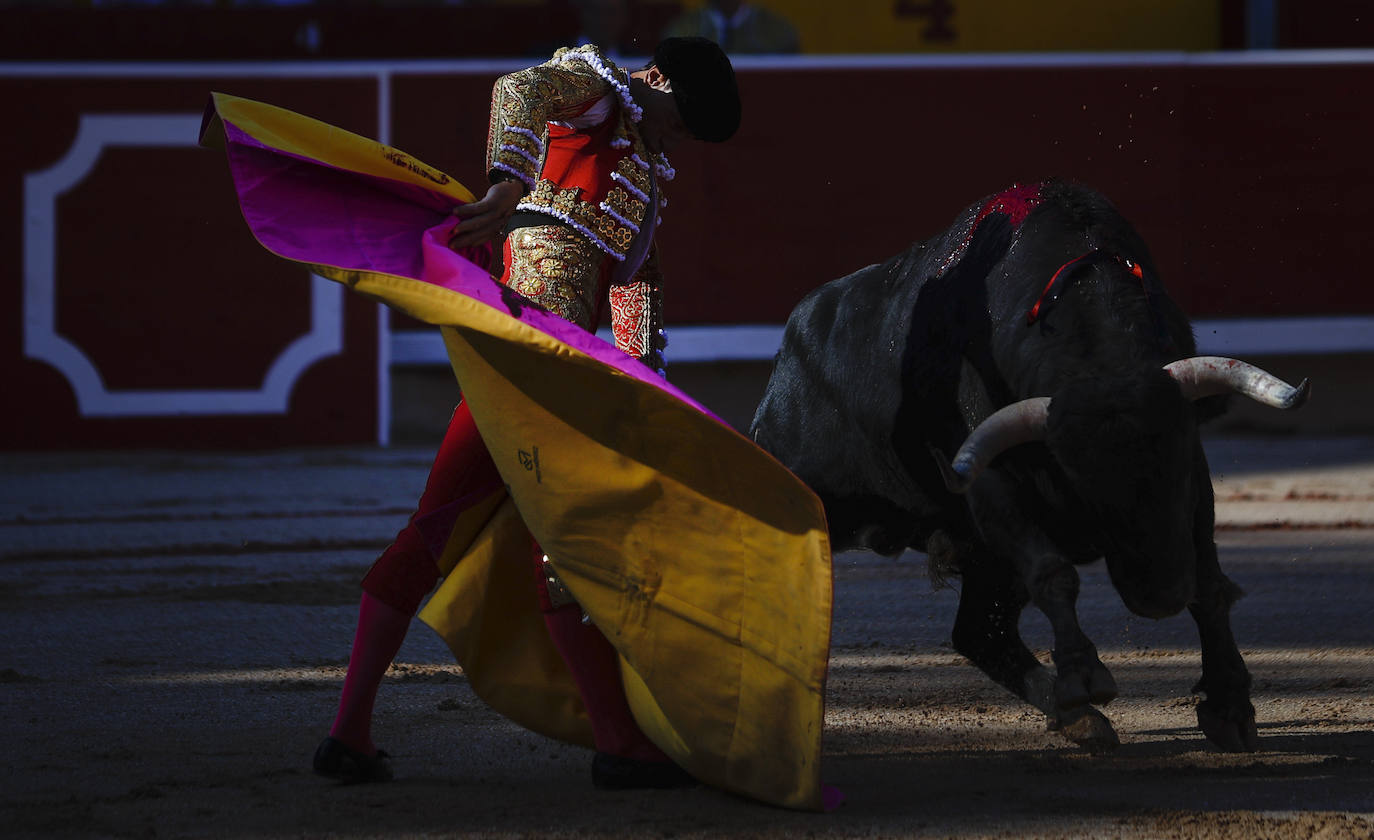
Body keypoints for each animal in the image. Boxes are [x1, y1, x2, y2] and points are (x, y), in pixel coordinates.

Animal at [752, 180, 1308, 753]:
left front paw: (1229, 706)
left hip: (985, 560)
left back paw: (1077, 718)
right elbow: (1053, 573)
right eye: (1079, 478)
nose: (1159, 595)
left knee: (980, 632)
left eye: (1174, 463)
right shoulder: (990, 484)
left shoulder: (1194, 487)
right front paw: (1084, 676)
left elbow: (1209, 583)